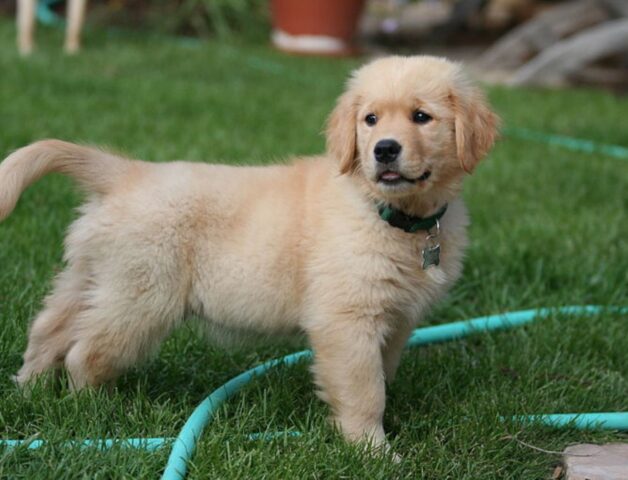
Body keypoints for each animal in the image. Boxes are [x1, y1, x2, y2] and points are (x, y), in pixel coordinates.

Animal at [0, 56, 498, 450]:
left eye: (421, 116)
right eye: (370, 119)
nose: (385, 150)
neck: (391, 213)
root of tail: (127, 172)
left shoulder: (395, 320)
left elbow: (383, 373)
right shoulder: (346, 319)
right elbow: (364, 389)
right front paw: (372, 452)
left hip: (92, 274)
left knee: (48, 330)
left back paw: (30, 392)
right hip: (141, 297)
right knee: (84, 353)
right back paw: (94, 412)